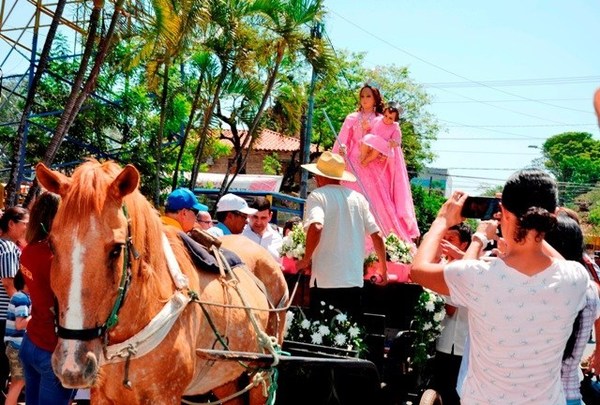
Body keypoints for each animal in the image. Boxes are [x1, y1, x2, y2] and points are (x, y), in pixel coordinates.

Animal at [36, 159, 290, 402]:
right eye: (52, 245)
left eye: (116, 250)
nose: (73, 364)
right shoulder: (102, 395)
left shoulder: (166, 396)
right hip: (225, 378)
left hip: (261, 373)